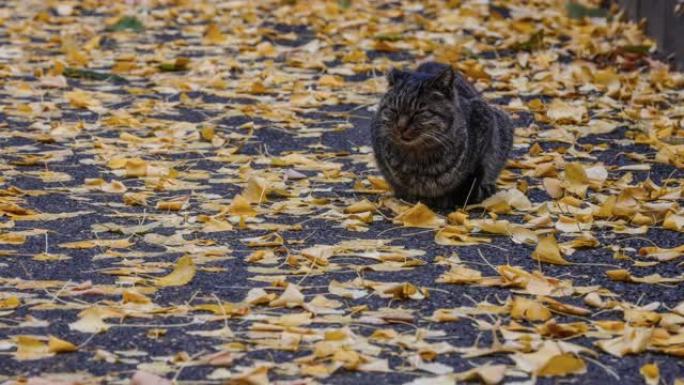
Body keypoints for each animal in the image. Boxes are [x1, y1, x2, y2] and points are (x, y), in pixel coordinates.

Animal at [368, 61, 512, 208]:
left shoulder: (485, 122)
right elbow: (398, 185)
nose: (400, 127)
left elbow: (472, 178)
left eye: (419, 112)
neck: (420, 160)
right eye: (393, 110)